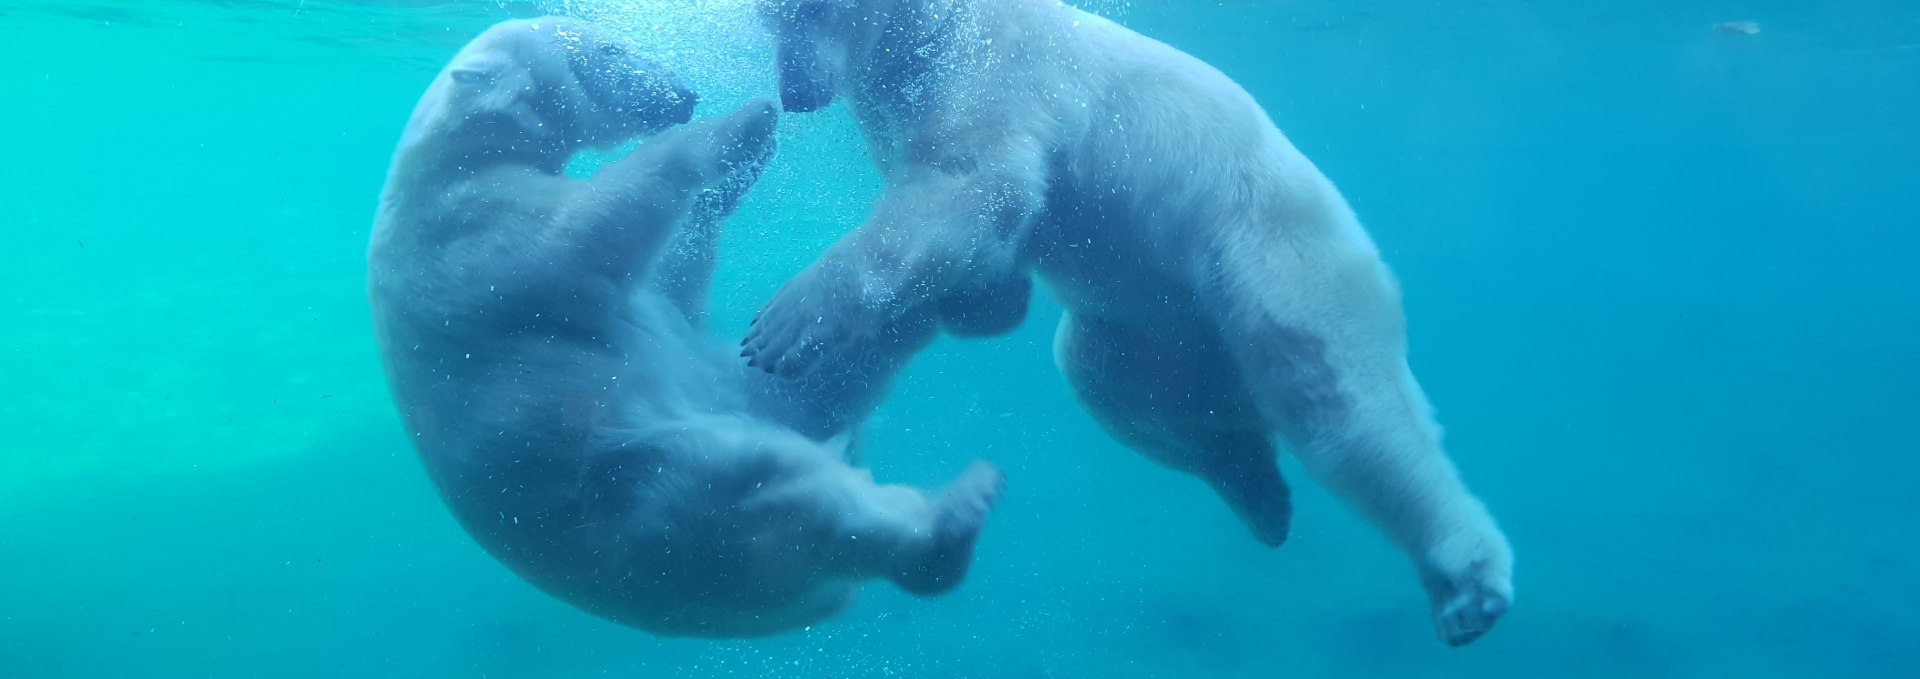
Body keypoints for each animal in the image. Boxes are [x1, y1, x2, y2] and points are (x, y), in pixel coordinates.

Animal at [364, 17, 1013, 640]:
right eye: (609, 49)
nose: (682, 94)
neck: (448, 161)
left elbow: (673, 289)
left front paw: (743, 165)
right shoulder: (473, 233)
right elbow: (591, 223)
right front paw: (743, 122)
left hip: (741, 398)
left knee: (823, 384)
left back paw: (960, 301)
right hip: (658, 503)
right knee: (782, 491)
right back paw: (953, 518)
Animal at [741, 0, 1520, 640]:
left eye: (815, 9)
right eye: (768, 16)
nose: (795, 93)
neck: (930, 34)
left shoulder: (989, 73)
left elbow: (972, 186)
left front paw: (783, 326)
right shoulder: (896, 110)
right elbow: (981, 244)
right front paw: (986, 300)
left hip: (1271, 253)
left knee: (1346, 408)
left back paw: (1467, 583)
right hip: (1153, 331)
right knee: (1115, 383)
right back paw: (1258, 491)